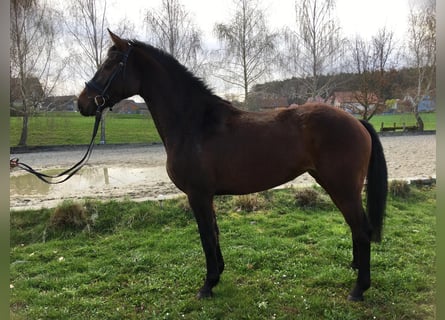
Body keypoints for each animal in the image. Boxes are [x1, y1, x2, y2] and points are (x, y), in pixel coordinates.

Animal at [78, 29, 386, 300]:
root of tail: (356, 121)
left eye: (110, 65)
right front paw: (219, 274)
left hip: (342, 188)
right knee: (356, 229)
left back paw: (359, 290)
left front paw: (207, 285)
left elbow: (206, 237)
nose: (82, 103)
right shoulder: (206, 196)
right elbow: (214, 233)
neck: (195, 123)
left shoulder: (198, 195)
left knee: (362, 230)